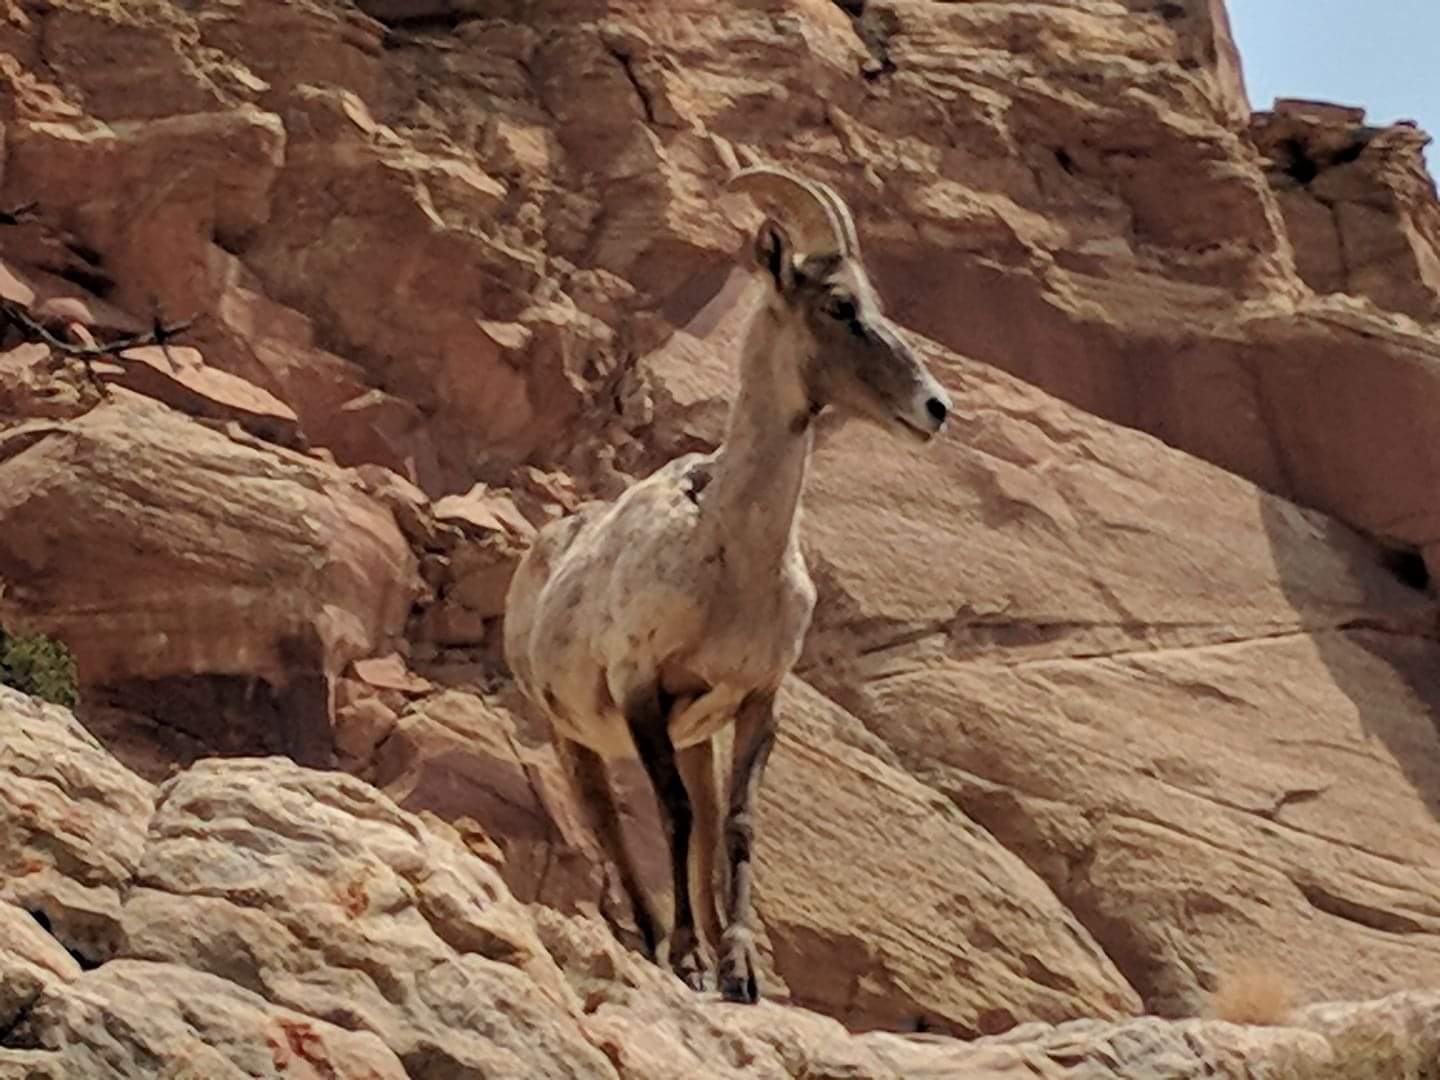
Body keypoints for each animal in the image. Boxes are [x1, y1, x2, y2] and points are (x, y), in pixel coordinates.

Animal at [503, 166, 951, 1003]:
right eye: (839, 305)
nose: (935, 408)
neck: (733, 562)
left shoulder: (752, 699)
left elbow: (735, 827)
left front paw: (741, 972)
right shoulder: (641, 689)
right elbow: (672, 818)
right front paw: (685, 958)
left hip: (694, 738)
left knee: (707, 824)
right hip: (573, 733)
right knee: (609, 821)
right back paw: (653, 939)